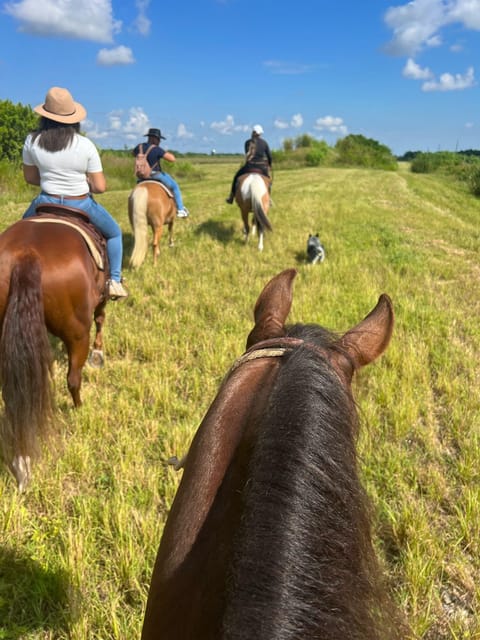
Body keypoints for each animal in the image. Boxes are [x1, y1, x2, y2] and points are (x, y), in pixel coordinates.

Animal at [0, 210, 108, 490]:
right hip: (77, 333)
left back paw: (21, 462)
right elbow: (101, 318)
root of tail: (26, 255)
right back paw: (79, 408)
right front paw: (99, 354)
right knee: (73, 379)